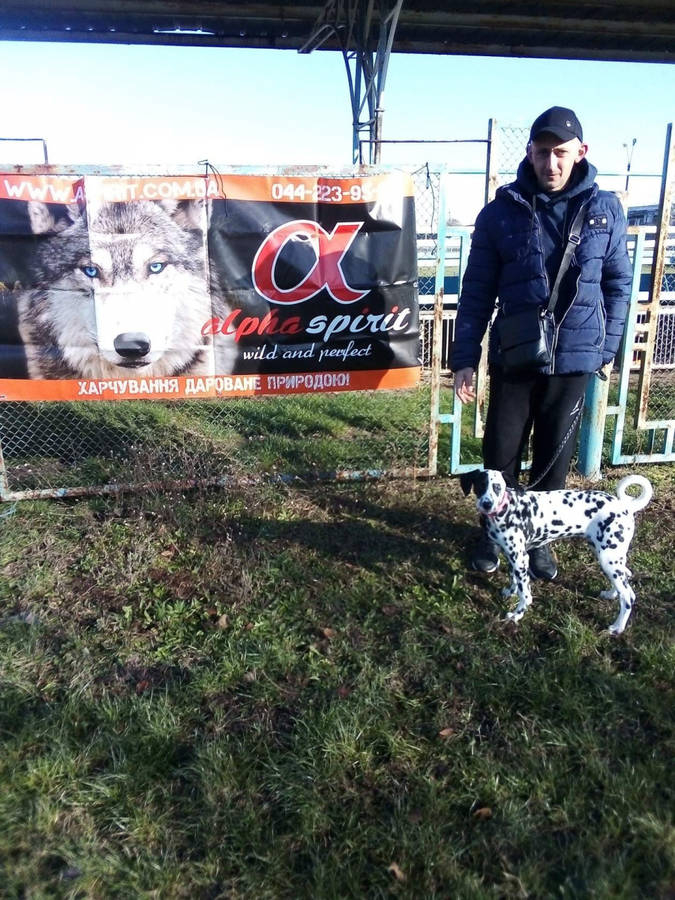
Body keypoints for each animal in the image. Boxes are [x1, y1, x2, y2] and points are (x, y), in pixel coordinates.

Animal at [462, 472, 652, 632]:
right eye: (480, 485)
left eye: (497, 487)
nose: (487, 504)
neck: (507, 509)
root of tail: (624, 505)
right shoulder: (513, 558)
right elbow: (514, 580)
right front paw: (510, 591)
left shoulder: (520, 558)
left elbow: (525, 595)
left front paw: (517, 615)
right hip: (608, 556)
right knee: (624, 578)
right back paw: (611, 594)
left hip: (608, 558)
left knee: (628, 596)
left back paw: (617, 627)